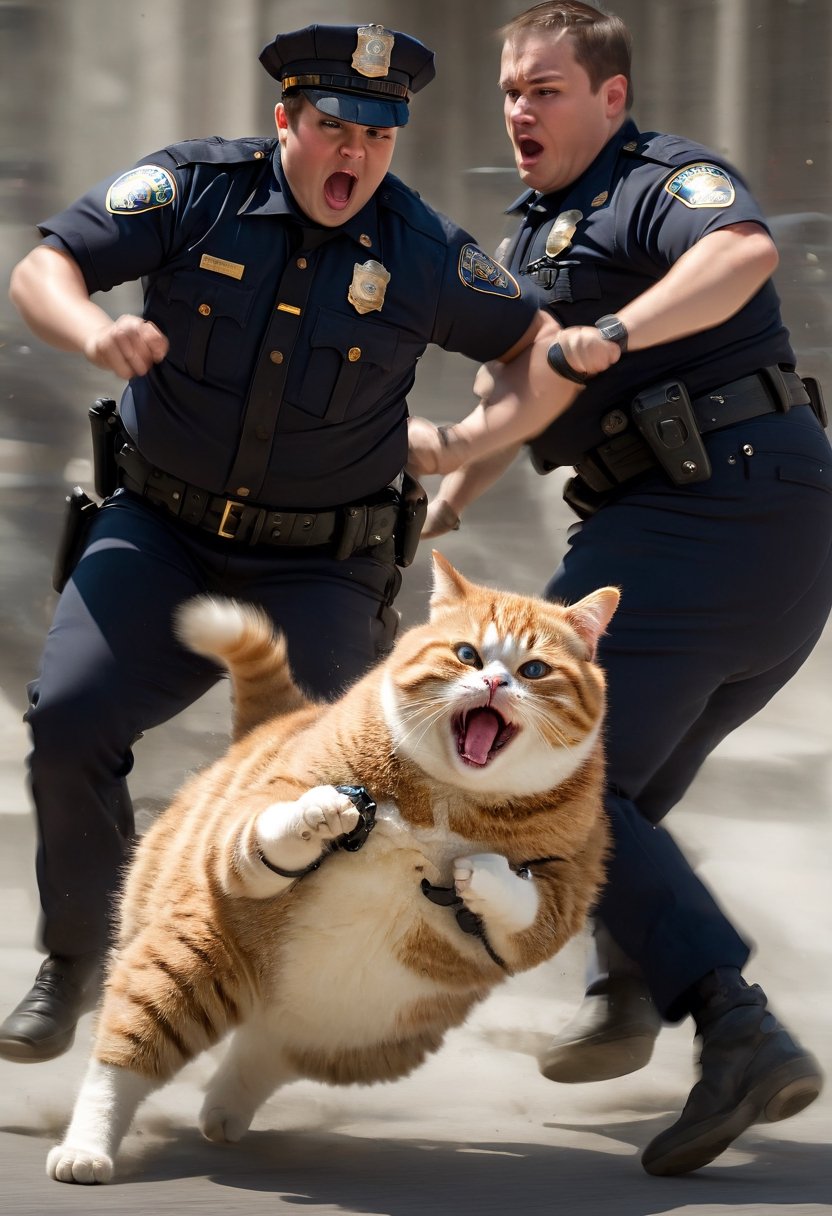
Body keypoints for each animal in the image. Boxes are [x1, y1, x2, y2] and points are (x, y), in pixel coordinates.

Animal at [45, 552, 617, 1177]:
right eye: (468, 654)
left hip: (358, 1037)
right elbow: (261, 829)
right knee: (121, 1061)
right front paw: (317, 815)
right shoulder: (253, 818)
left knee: (265, 1051)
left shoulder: (574, 884)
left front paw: (484, 874)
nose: (494, 681)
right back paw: (87, 1149)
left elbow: (528, 905)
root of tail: (281, 716)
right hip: (185, 959)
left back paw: (223, 1110)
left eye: (534, 669)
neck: (450, 797)